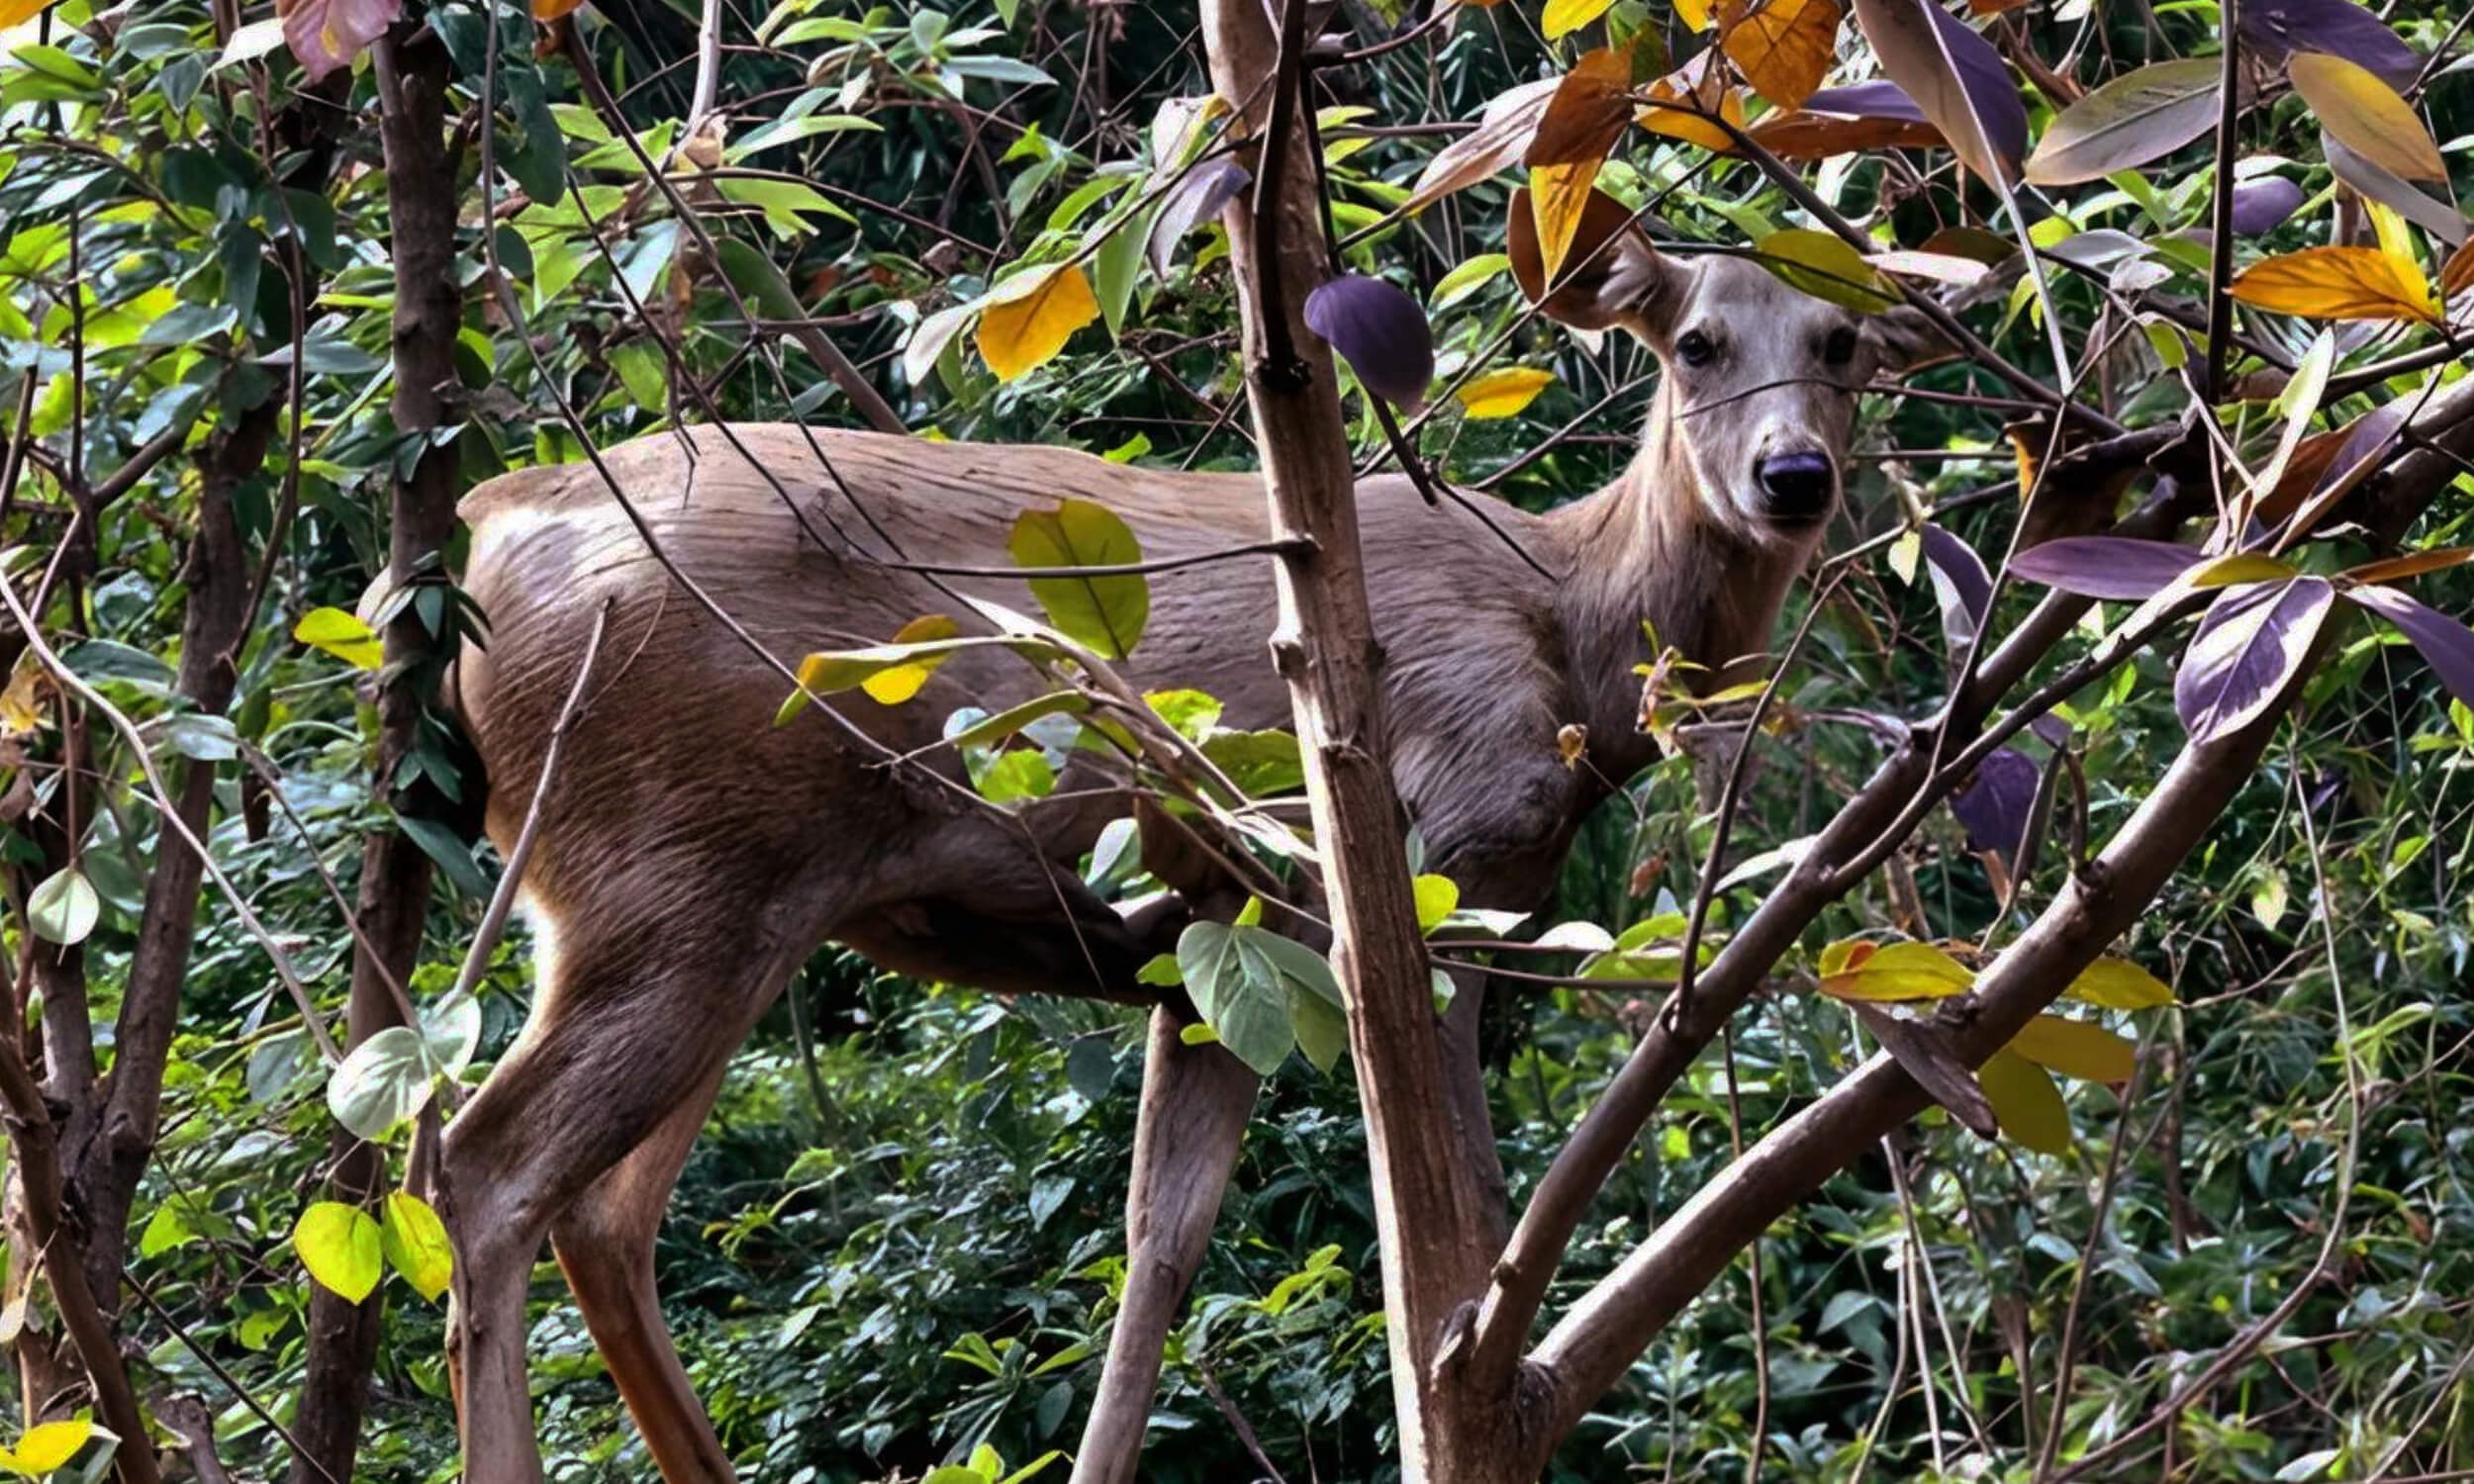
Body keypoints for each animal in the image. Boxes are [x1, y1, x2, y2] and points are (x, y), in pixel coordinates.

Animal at [434, 207, 1943, 1484]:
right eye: (1697, 342)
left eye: (1843, 342)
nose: (1793, 475)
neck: (1571, 637)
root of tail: (487, 539)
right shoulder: (1443, 855)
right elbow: (1447, 1225)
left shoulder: (1212, 952)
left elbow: (1159, 1245)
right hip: (659, 870)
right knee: (485, 1168)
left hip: (720, 900)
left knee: (604, 1214)